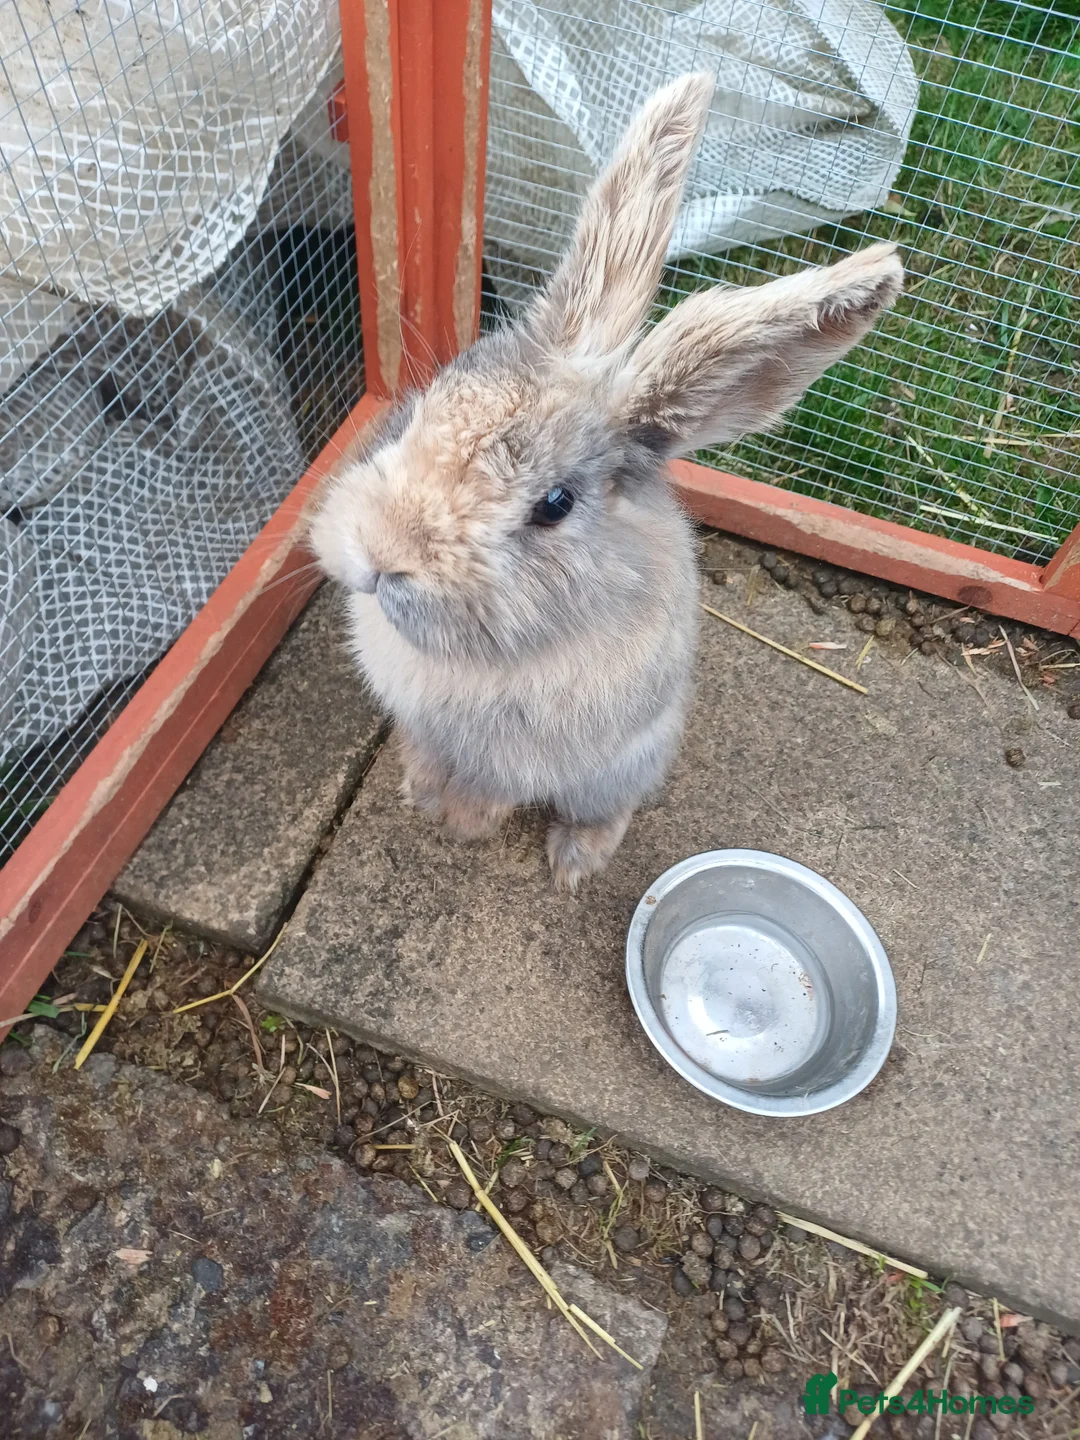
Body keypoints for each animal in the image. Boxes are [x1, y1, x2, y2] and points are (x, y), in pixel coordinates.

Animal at [309, 72, 903, 892]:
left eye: (555, 505)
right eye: (426, 405)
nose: (377, 557)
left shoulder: (517, 753)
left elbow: (493, 790)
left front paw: (462, 824)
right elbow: (430, 754)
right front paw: (418, 790)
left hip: (623, 764)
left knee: (605, 807)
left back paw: (576, 863)